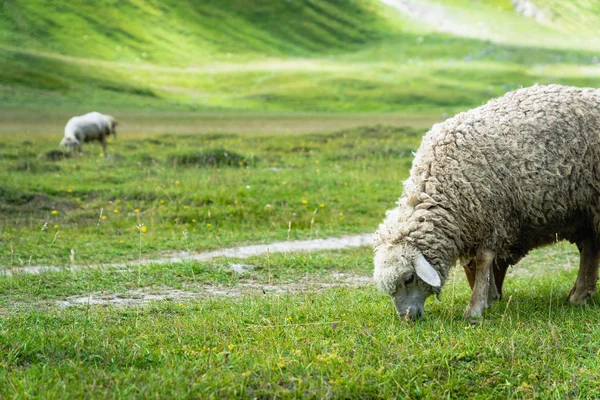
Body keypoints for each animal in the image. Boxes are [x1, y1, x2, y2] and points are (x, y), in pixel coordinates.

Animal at [372, 84, 600, 322]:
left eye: (408, 278)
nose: (407, 318)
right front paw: (489, 298)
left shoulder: (493, 218)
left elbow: (483, 262)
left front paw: (475, 308)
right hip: (584, 208)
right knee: (590, 246)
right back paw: (579, 295)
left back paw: (579, 295)